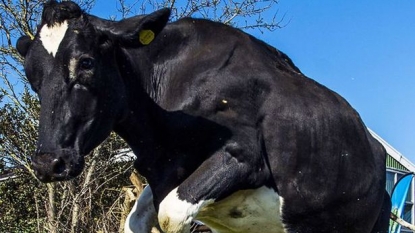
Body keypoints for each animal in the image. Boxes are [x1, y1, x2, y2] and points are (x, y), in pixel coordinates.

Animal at [17, 0, 394, 232]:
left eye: (86, 63)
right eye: (31, 76)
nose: (48, 162)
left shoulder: (244, 156)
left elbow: (170, 215)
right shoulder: (162, 174)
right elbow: (136, 220)